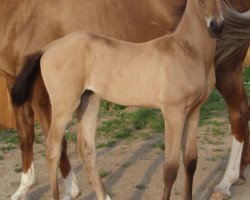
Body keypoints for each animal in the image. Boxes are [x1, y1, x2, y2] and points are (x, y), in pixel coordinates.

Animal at [0, 0, 250, 199]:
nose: (216, 26)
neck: (187, 49)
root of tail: (46, 48)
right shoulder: (173, 113)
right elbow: (170, 169)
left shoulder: (194, 111)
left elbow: (190, 162)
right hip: (64, 106)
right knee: (53, 147)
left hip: (88, 102)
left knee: (86, 148)